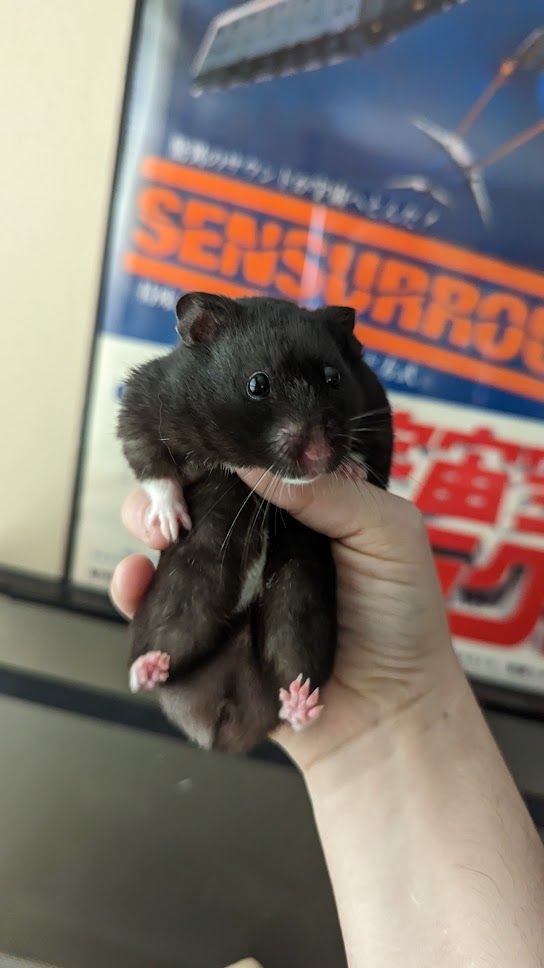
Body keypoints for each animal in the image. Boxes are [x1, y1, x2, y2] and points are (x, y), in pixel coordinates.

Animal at [117, 293, 393, 753]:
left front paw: (350, 469)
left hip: (297, 620)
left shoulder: (379, 420)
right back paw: (150, 667)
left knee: (292, 680)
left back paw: (299, 702)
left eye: (334, 378)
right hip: (178, 609)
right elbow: (151, 461)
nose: (319, 458)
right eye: (257, 385)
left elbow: (368, 460)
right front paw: (171, 522)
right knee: (163, 663)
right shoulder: (147, 398)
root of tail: (221, 720)